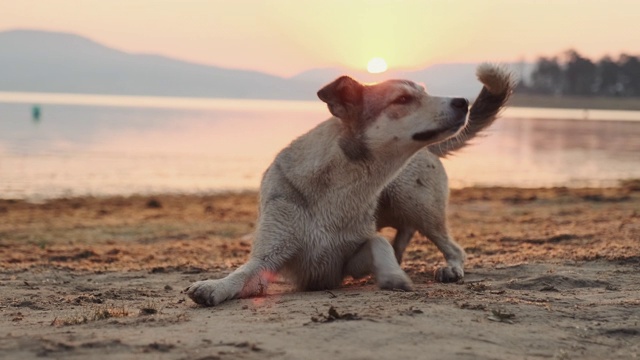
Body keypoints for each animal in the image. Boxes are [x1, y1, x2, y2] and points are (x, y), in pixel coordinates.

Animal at [186, 63, 516, 306]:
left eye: (424, 92)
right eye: (402, 99)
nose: (463, 102)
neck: (340, 186)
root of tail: (430, 151)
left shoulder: (346, 261)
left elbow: (377, 242)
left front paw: (392, 276)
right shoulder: (271, 255)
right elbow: (243, 274)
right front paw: (214, 286)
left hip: (417, 203)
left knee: (452, 247)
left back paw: (450, 268)